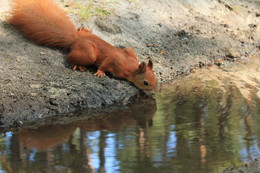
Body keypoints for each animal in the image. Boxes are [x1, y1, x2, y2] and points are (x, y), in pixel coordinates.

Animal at [8, 0, 156, 91]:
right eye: (146, 82)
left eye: (156, 79)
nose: (155, 91)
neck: (131, 67)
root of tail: (74, 39)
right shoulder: (116, 61)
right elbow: (106, 63)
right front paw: (100, 73)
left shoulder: (130, 51)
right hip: (89, 53)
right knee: (70, 57)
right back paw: (79, 65)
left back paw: (83, 29)